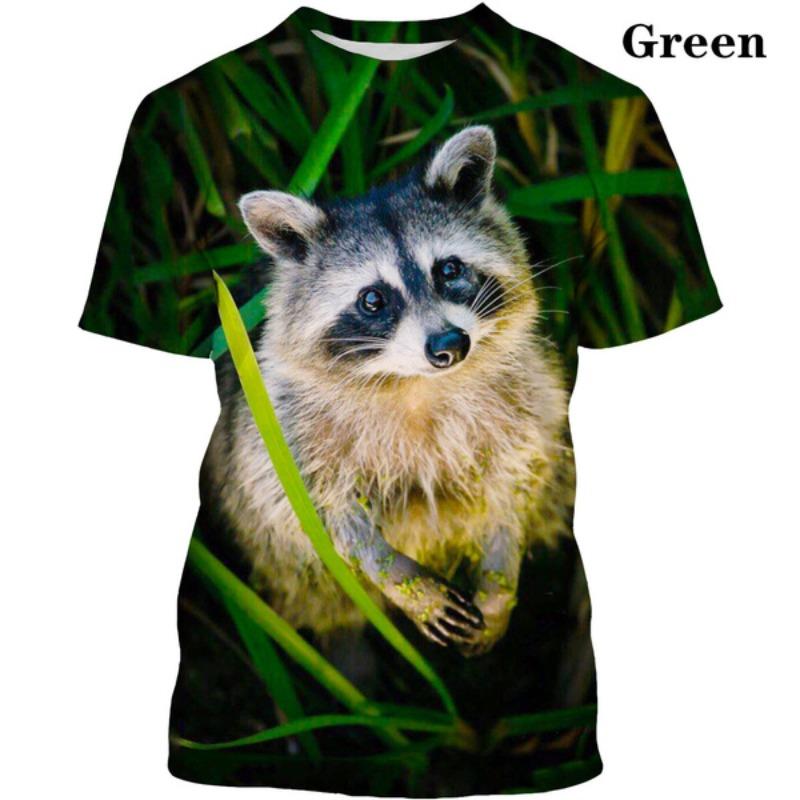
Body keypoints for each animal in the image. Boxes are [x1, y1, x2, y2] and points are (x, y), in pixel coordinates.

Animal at [203, 126, 571, 656]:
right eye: (373, 299)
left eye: (449, 270)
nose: (449, 345)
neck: (416, 384)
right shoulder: (280, 426)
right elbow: (314, 513)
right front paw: (395, 575)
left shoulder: (528, 394)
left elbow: (520, 478)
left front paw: (501, 578)